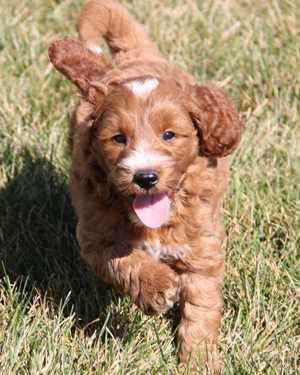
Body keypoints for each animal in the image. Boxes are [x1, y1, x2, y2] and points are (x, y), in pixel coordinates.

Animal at [48, 0, 243, 370]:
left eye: (169, 135)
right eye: (118, 138)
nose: (145, 177)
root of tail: (136, 54)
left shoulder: (203, 247)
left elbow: (201, 307)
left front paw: (199, 360)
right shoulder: (95, 236)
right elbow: (124, 260)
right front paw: (157, 288)